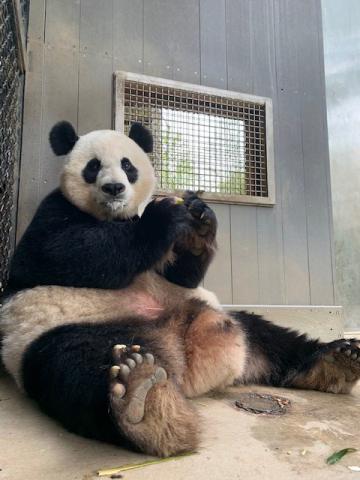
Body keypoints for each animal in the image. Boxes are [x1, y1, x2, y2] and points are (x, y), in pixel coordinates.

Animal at [0, 121, 360, 458]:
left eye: (127, 165)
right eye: (93, 166)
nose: (114, 187)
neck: (115, 217)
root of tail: (183, 371)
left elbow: (181, 276)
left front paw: (199, 223)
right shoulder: (52, 212)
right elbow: (60, 252)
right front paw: (163, 215)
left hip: (230, 321)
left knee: (270, 336)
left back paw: (337, 360)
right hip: (62, 338)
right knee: (78, 370)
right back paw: (144, 404)